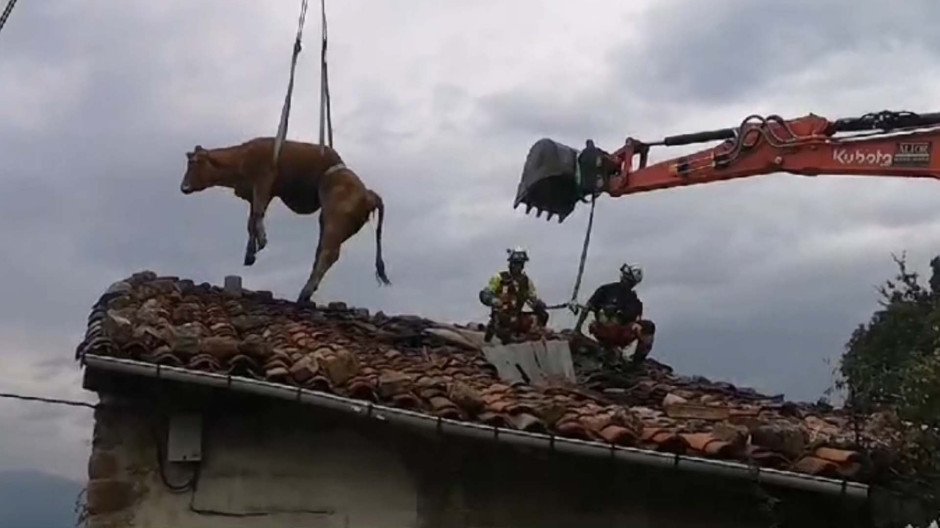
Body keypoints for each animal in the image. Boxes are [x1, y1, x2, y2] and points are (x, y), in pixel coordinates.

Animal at [180, 137, 390, 302]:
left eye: (195, 162)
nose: (184, 187)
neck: (241, 158)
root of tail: (368, 193)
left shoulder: (264, 180)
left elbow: (257, 215)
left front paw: (262, 240)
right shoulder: (258, 192)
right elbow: (251, 221)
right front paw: (250, 253)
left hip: (335, 219)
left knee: (329, 253)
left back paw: (305, 292)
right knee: (322, 251)